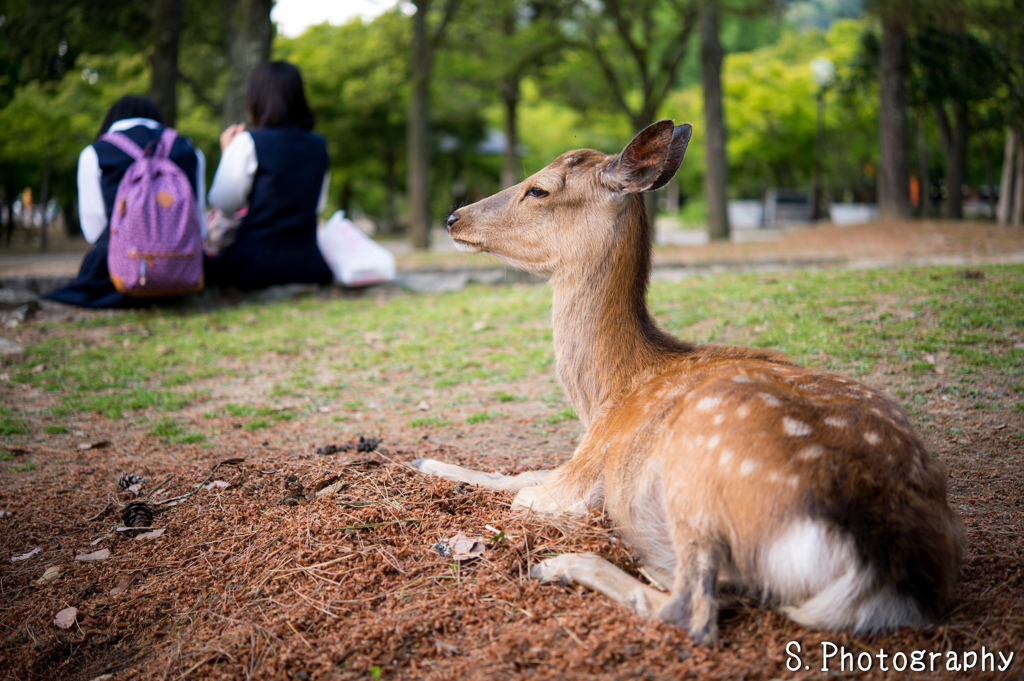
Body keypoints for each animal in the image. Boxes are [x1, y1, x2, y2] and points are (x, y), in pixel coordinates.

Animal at [411, 119, 962, 647]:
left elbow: (521, 490)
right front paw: (423, 461)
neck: (608, 394)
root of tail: (883, 568)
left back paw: (563, 565)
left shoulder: (581, 473)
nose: (454, 217)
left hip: (697, 465)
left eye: (540, 188)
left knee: (692, 609)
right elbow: (521, 472)